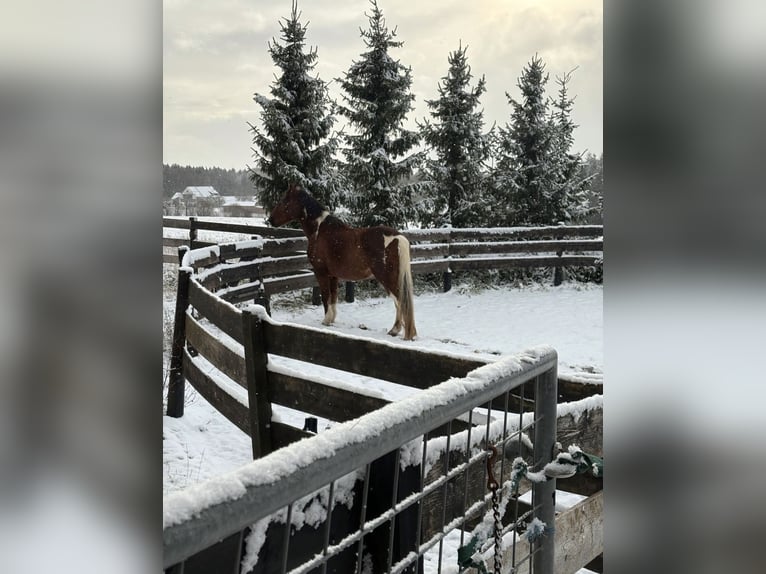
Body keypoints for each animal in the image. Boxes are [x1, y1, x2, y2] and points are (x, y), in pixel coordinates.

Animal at [267, 184, 417, 340]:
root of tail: (398, 237)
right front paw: (331, 320)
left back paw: (401, 333)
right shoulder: (333, 275)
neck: (320, 230)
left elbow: (325, 296)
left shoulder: (321, 273)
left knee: (400, 301)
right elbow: (333, 298)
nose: (270, 220)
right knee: (399, 303)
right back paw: (395, 331)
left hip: (387, 278)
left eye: (284, 201)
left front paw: (325, 321)